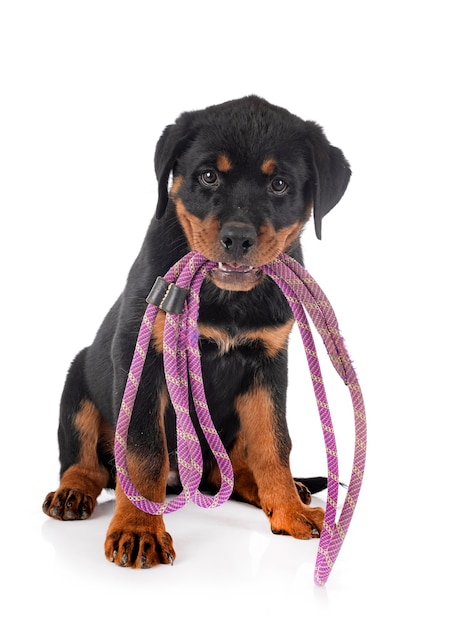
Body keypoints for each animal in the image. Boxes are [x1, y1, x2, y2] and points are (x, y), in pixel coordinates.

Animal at [42, 95, 352, 568]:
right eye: (208, 176)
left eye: (279, 184)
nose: (237, 238)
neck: (225, 298)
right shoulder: (144, 357)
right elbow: (143, 451)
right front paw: (138, 529)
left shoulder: (269, 363)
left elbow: (273, 442)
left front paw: (288, 510)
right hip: (77, 382)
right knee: (85, 460)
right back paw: (72, 493)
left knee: (232, 468)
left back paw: (284, 491)